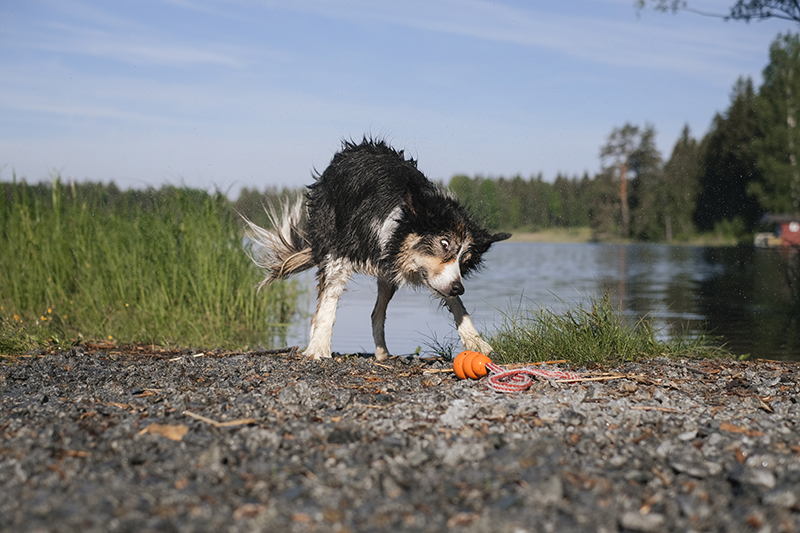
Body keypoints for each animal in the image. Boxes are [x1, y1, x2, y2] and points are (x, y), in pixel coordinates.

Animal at [241, 139, 510, 360]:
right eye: (444, 244)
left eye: (465, 260)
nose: (459, 288)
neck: (400, 218)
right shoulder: (341, 251)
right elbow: (328, 305)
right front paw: (318, 348)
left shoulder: (436, 275)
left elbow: (457, 305)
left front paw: (476, 341)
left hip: (387, 274)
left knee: (376, 313)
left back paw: (382, 354)